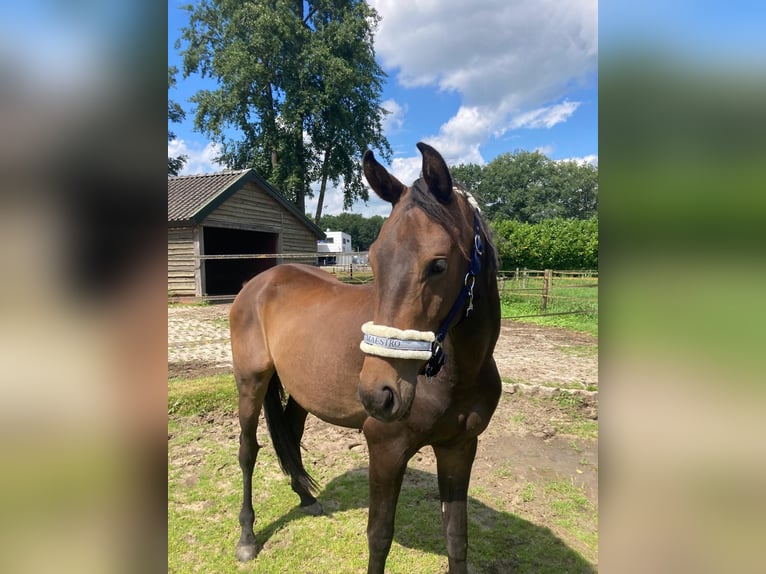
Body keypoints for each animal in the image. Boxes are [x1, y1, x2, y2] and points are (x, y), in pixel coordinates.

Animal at [231, 143, 500, 574]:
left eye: (439, 264)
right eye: (373, 259)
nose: (379, 394)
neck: (458, 374)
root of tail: (256, 284)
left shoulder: (460, 448)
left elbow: (457, 538)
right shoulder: (386, 449)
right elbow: (379, 537)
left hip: (303, 392)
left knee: (291, 433)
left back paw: (307, 498)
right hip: (250, 382)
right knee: (247, 450)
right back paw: (247, 537)